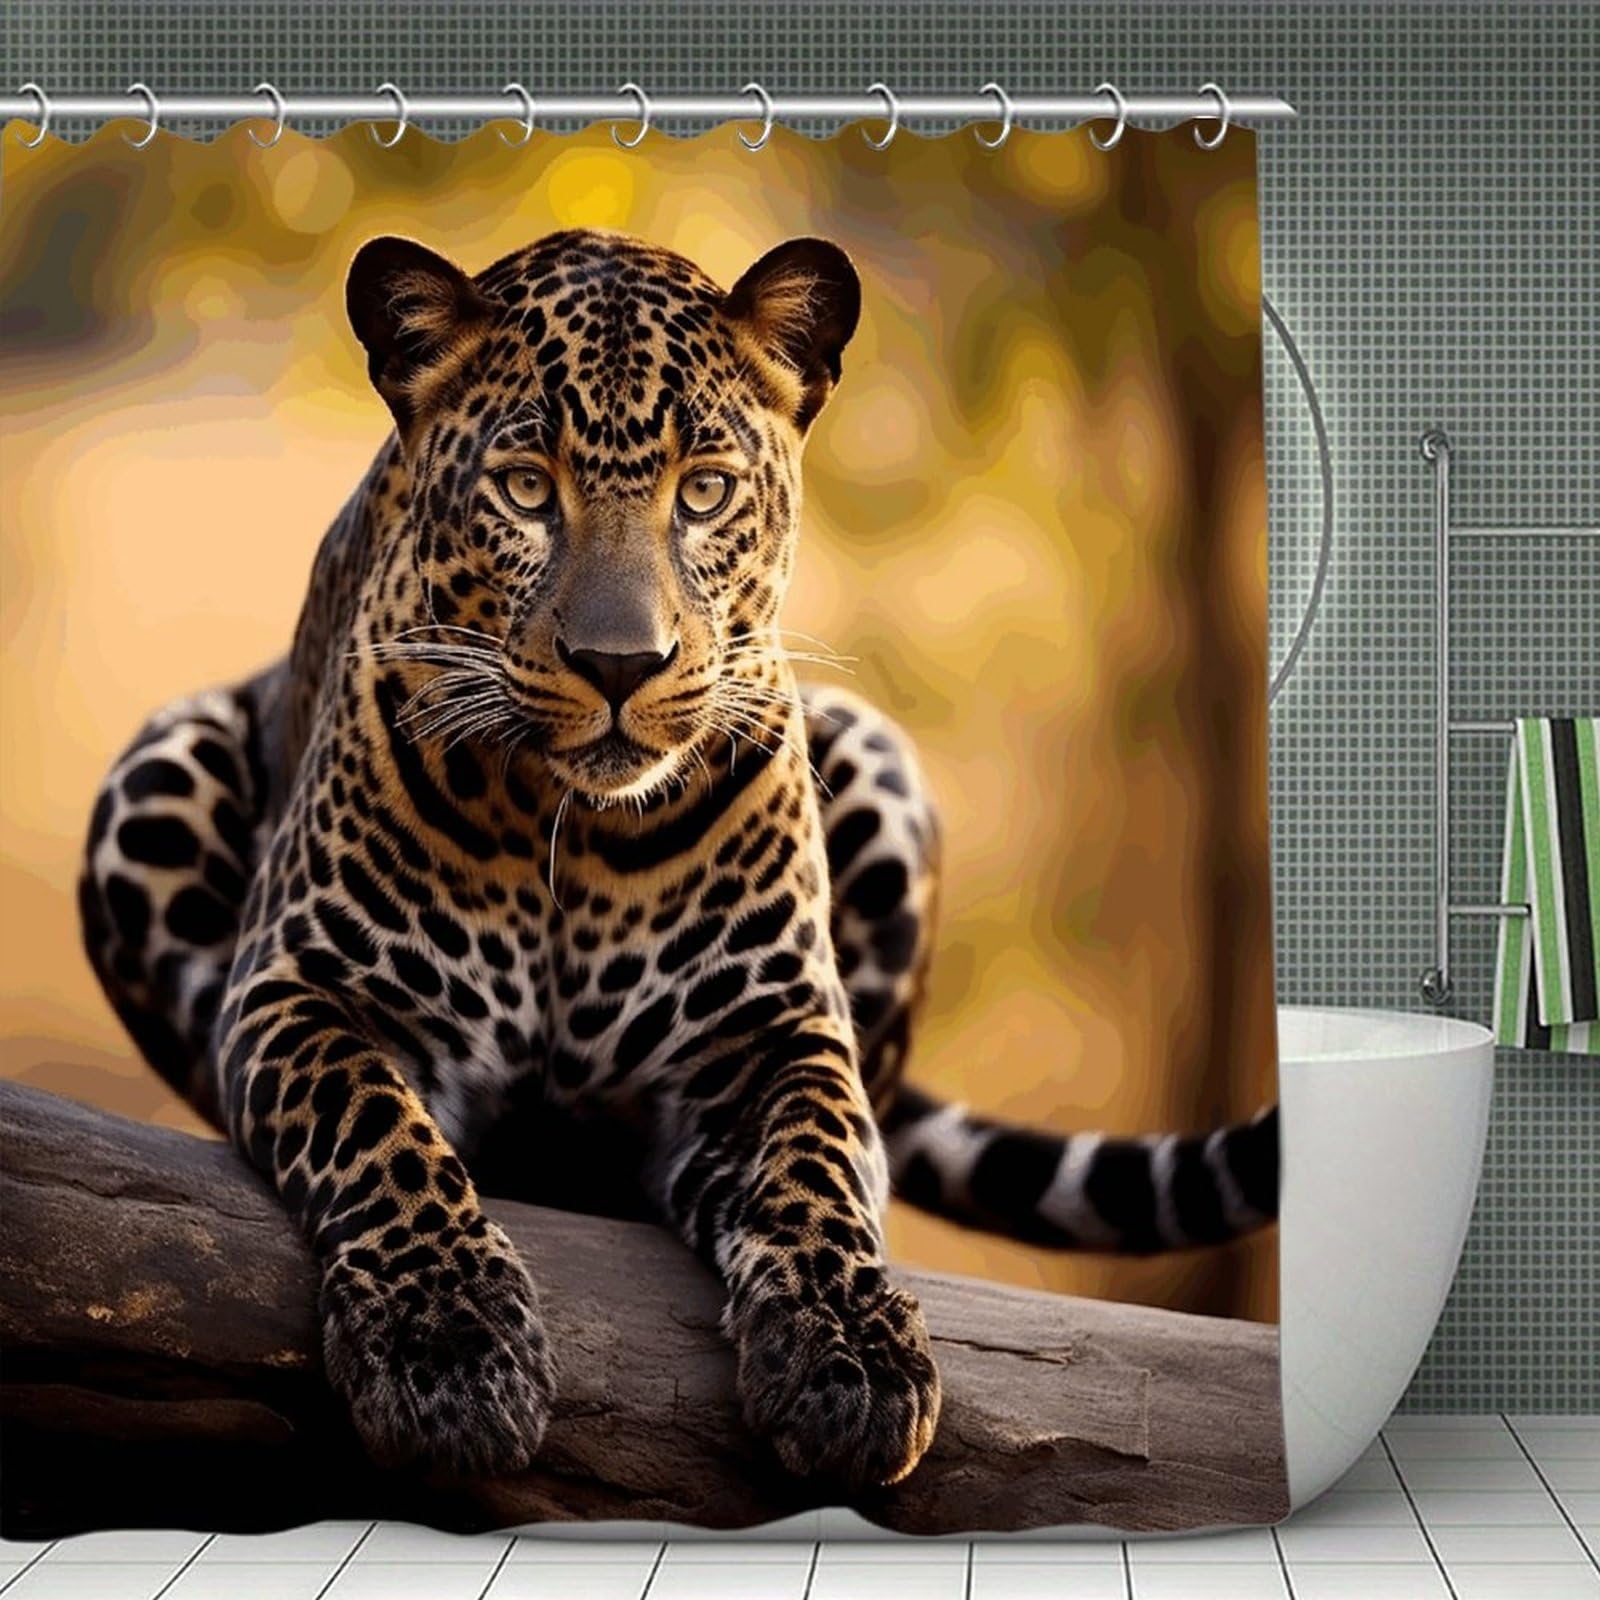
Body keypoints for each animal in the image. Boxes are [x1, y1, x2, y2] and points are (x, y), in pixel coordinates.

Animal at [78, 227, 1279, 1491]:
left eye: (703, 491)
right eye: (525, 488)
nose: (620, 663)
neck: (569, 828)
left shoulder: (768, 1032)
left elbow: (815, 1161)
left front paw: (850, 1357)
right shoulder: (301, 986)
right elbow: (376, 1128)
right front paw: (449, 1350)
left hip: (881, 759)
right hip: (153, 776)